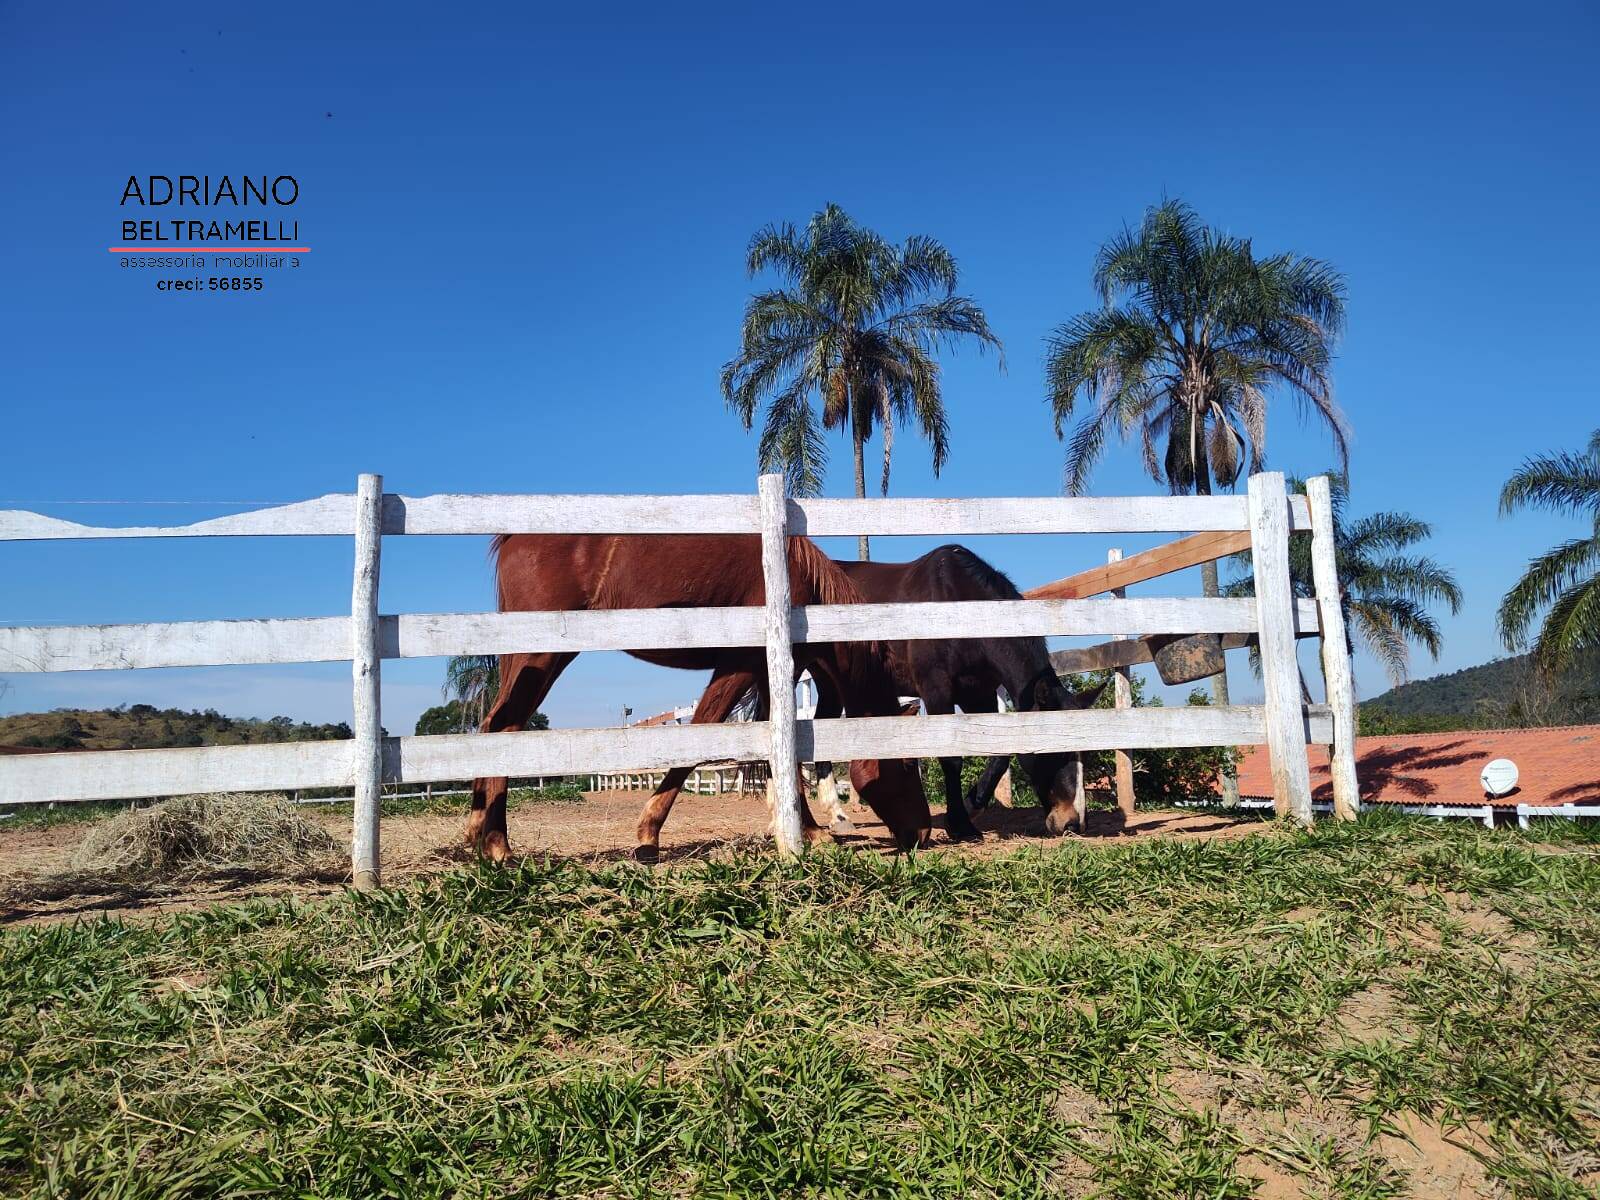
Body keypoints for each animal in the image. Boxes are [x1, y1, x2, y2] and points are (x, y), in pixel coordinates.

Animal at [467, 534, 934, 864]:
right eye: (906, 764)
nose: (924, 833)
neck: (798, 583)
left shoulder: (767, 674)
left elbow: (778, 751)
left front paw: (806, 829)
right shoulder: (739, 666)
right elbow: (702, 734)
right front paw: (648, 833)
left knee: (494, 725)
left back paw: (478, 832)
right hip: (540, 656)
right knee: (503, 726)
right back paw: (497, 845)